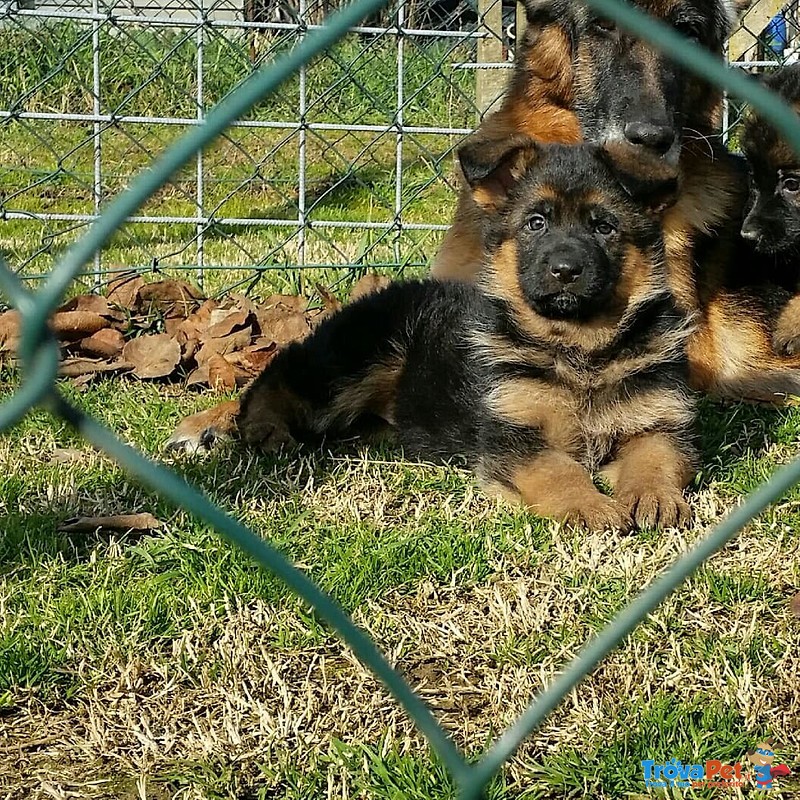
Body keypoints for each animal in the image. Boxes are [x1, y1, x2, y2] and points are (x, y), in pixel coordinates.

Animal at [233, 139, 700, 532]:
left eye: (604, 227)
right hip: (357, 360)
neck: (578, 349)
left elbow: (656, 456)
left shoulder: (658, 421)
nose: (565, 271)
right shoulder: (510, 436)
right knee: (280, 375)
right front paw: (587, 505)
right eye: (535, 223)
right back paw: (264, 427)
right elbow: (557, 469)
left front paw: (654, 497)